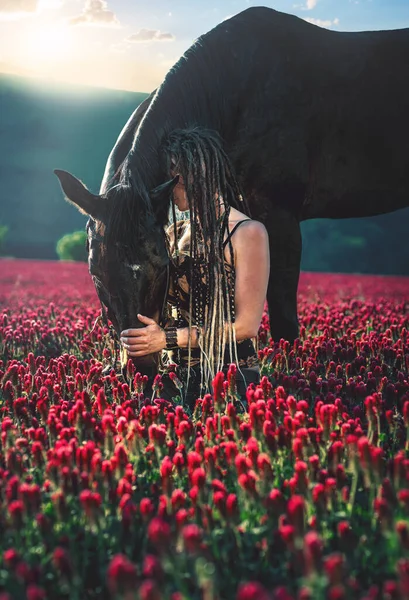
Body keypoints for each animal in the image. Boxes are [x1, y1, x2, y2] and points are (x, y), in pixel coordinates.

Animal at [54, 5, 408, 370]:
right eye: (95, 273)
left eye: (163, 266)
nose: (143, 368)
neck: (236, 94)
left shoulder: (280, 218)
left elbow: (282, 317)